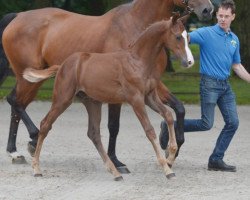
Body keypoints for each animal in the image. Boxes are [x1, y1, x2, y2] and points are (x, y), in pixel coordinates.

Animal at [23, 14, 194, 180]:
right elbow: (149, 130)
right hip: (63, 99)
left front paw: (171, 155)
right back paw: (36, 168)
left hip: (92, 103)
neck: (138, 61)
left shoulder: (149, 97)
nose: (190, 62)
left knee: (93, 133)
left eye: (188, 37)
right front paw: (167, 169)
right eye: (178, 37)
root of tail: (62, 65)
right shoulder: (136, 99)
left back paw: (115, 172)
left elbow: (168, 115)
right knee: (45, 124)